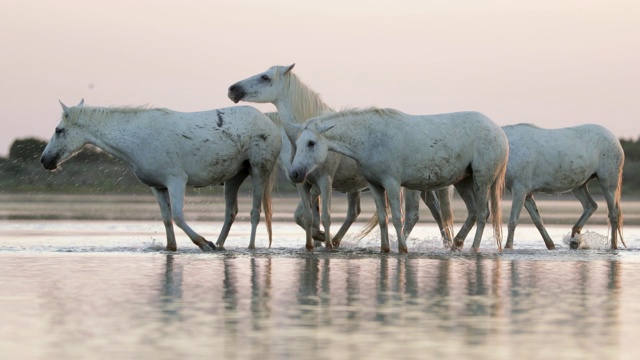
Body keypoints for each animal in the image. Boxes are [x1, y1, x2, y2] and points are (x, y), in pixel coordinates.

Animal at [39, 98, 280, 250]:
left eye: (59, 130)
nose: (44, 160)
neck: (138, 136)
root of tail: (268, 121)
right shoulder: (158, 187)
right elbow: (166, 219)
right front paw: (172, 247)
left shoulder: (176, 181)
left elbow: (178, 216)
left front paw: (203, 243)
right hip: (233, 178)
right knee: (230, 213)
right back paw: (221, 245)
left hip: (259, 171)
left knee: (255, 213)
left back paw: (248, 247)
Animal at [228, 64, 452, 250]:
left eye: (265, 77)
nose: (232, 89)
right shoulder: (308, 184)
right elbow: (307, 216)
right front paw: (317, 241)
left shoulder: (322, 181)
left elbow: (314, 216)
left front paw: (321, 239)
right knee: (434, 210)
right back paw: (447, 244)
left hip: (408, 187)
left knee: (412, 215)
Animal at [288, 107, 508, 253]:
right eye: (298, 142)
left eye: (311, 143)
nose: (295, 174)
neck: (370, 138)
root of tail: (499, 132)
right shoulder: (375, 186)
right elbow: (383, 218)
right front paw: (385, 249)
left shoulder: (392, 184)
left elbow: (396, 218)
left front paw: (402, 249)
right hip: (463, 181)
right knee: (473, 212)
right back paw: (457, 243)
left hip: (482, 179)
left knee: (482, 214)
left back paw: (473, 249)